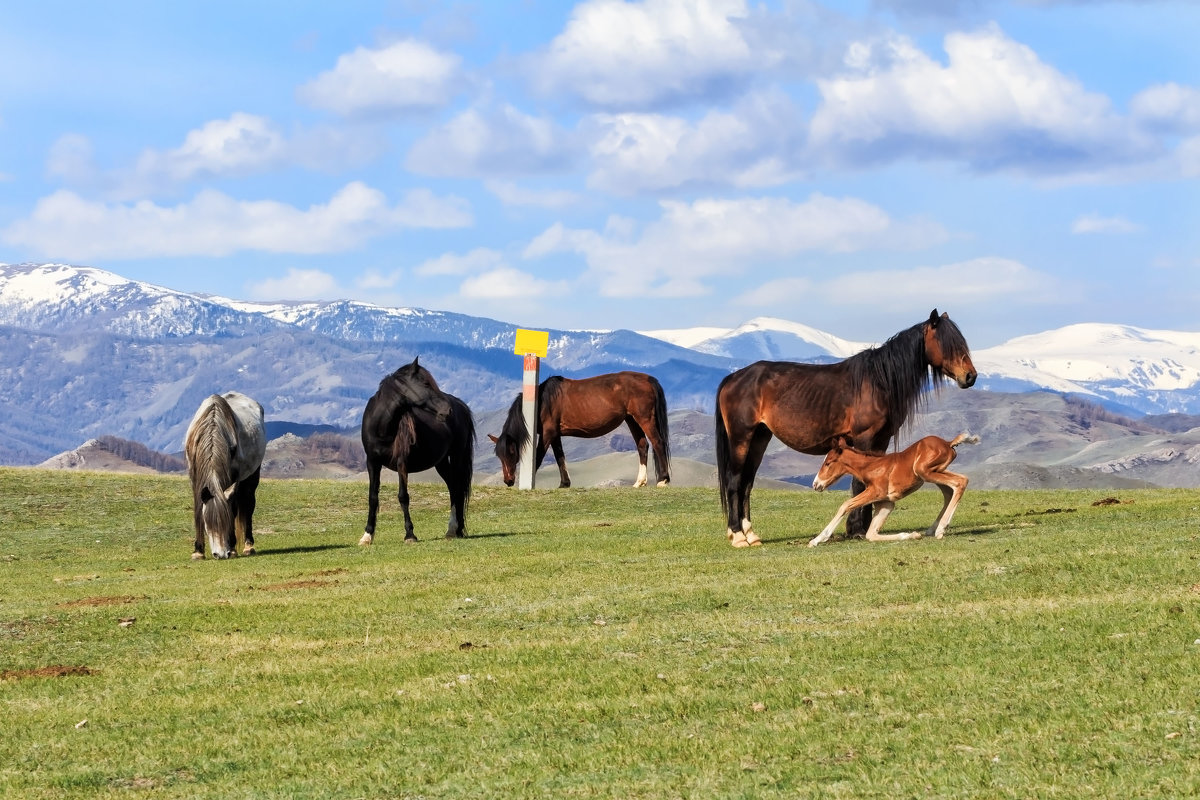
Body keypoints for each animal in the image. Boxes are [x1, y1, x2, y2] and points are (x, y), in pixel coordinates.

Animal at [183, 391, 266, 561]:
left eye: (226, 522)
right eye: (208, 525)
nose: (220, 554)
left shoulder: (232, 478)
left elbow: (233, 509)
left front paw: (232, 548)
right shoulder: (195, 478)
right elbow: (197, 509)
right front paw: (198, 551)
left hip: (251, 476)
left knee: (248, 506)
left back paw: (248, 546)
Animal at [357, 359, 475, 546]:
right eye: (426, 384)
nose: (447, 410)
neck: (381, 427)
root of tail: (461, 405)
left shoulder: (401, 463)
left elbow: (403, 496)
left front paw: (409, 534)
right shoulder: (372, 463)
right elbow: (373, 497)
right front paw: (367, 535)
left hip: (456, 456)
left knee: (458, 489)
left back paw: (455, 529)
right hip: (441, 462)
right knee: (453, 488)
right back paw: (454, 529)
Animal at [489, 371, 676, 489]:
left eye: (512, 453)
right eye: (499, 456)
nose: (508, 480)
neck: (543, 400)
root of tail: (648, 379)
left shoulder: (548, 434)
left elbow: (539, 458)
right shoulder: (555, 435)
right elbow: (560, 457)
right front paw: (564, 483)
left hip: (644, 419)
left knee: (658, 443)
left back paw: (663, 480)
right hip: (632, 420)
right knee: (643, 446)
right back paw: (639, 482)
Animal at [806, 434, 984, 546]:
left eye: (828, 463)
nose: (816, 484)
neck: (871, 468)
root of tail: (948, 442)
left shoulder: (876, 492)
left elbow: (846, 505)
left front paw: (817, 540)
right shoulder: (885, 503)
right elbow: (871, 535)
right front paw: (911, 535)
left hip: (925, 471)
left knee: (961, 481)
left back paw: (940, 529)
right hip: (934, 472)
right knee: (949, 492)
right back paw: (931, 529)